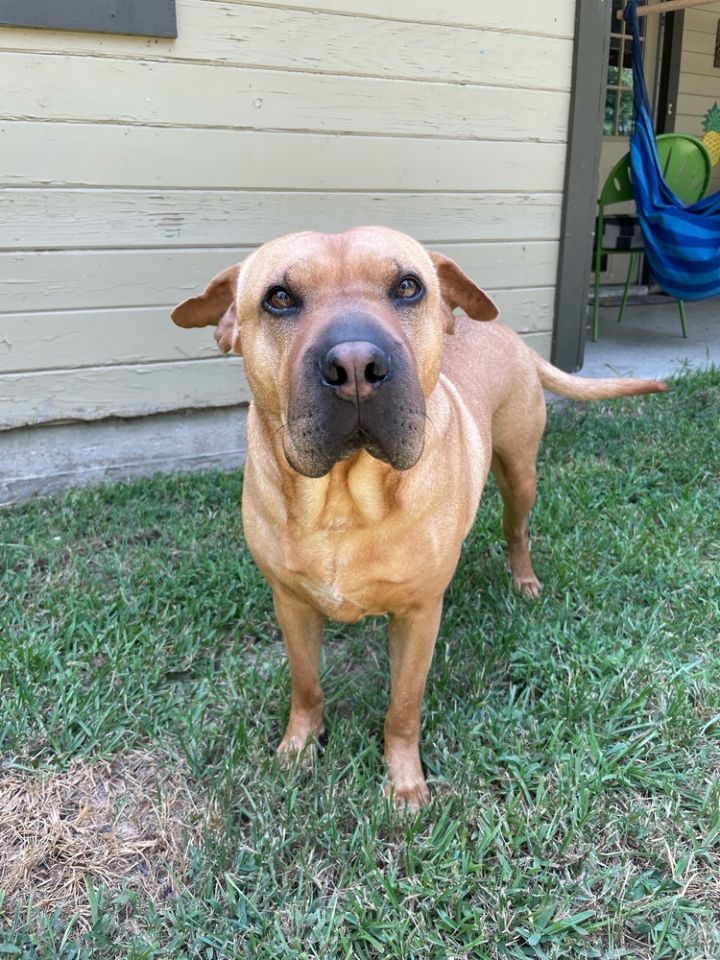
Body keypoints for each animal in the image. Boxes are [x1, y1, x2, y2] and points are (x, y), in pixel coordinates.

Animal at [172, 227, 668, 808]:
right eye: (279, 298)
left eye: (408, 286)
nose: (356, 366)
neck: (344, 499)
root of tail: (509, 334)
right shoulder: (291, 605)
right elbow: (306, 686)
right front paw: (299, 748)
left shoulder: (418, 617)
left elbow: (403, 708)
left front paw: (404, 782)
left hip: (520, 471)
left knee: (516, 528)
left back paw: (523, 578)